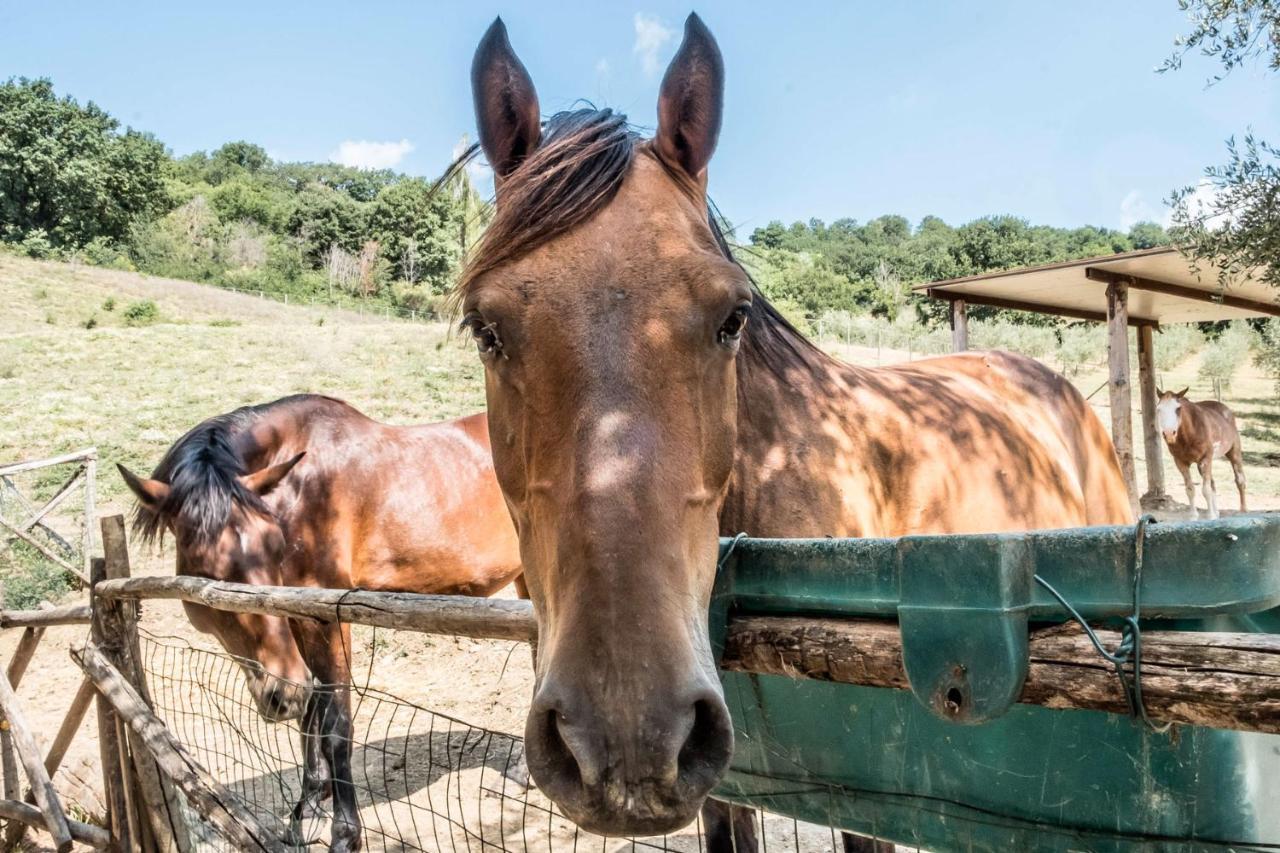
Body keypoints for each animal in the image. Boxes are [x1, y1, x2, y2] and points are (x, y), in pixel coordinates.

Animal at [119, 394, 519, 845]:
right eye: (206, 568)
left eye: (273, 547)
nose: (281, 693)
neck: (302, 489)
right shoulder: (292, 619)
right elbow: (310, 715)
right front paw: (308, 808)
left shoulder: (327, 617)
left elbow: (335, 723)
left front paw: (344, 832)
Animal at [1157, 386, 1244, 517]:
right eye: (1158, 409)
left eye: (1178, 409)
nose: (1169, 434)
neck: (1189, 435)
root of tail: (1226, 410)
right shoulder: (1181, 462)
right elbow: (1190, 489)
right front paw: (1194, 516)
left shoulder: (1205, 459)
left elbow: (1206, 490)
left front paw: (1210, 516)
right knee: (1213, 484)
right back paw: (1217, 512)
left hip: (1234, 453)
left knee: (1240, 480)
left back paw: (1244, 510)